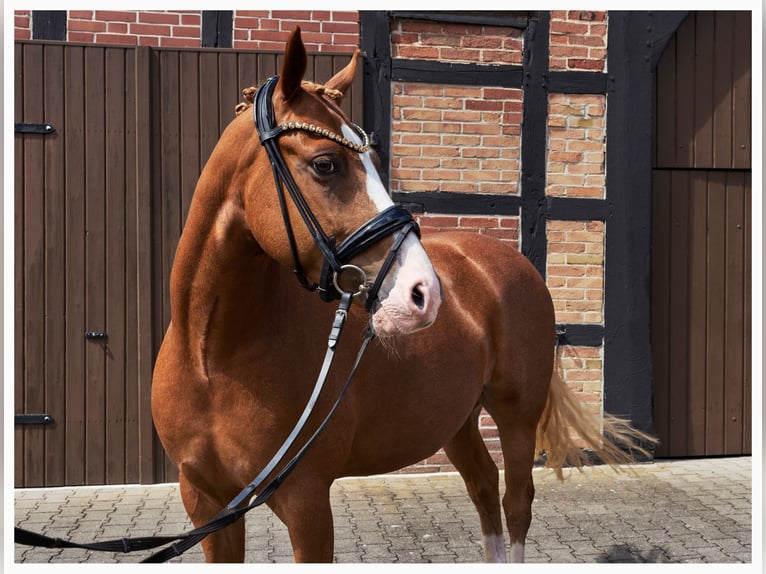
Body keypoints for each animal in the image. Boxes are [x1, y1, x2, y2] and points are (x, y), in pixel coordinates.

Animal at [151, 27, 653, 564]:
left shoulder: (306, 501)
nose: (424, 293)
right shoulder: (207, 504)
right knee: (483, 486)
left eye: (373, 159)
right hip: (456, 419)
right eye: (325, 164)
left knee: (515, 503)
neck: (214, 359)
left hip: (516, 416)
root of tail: (512, 262)